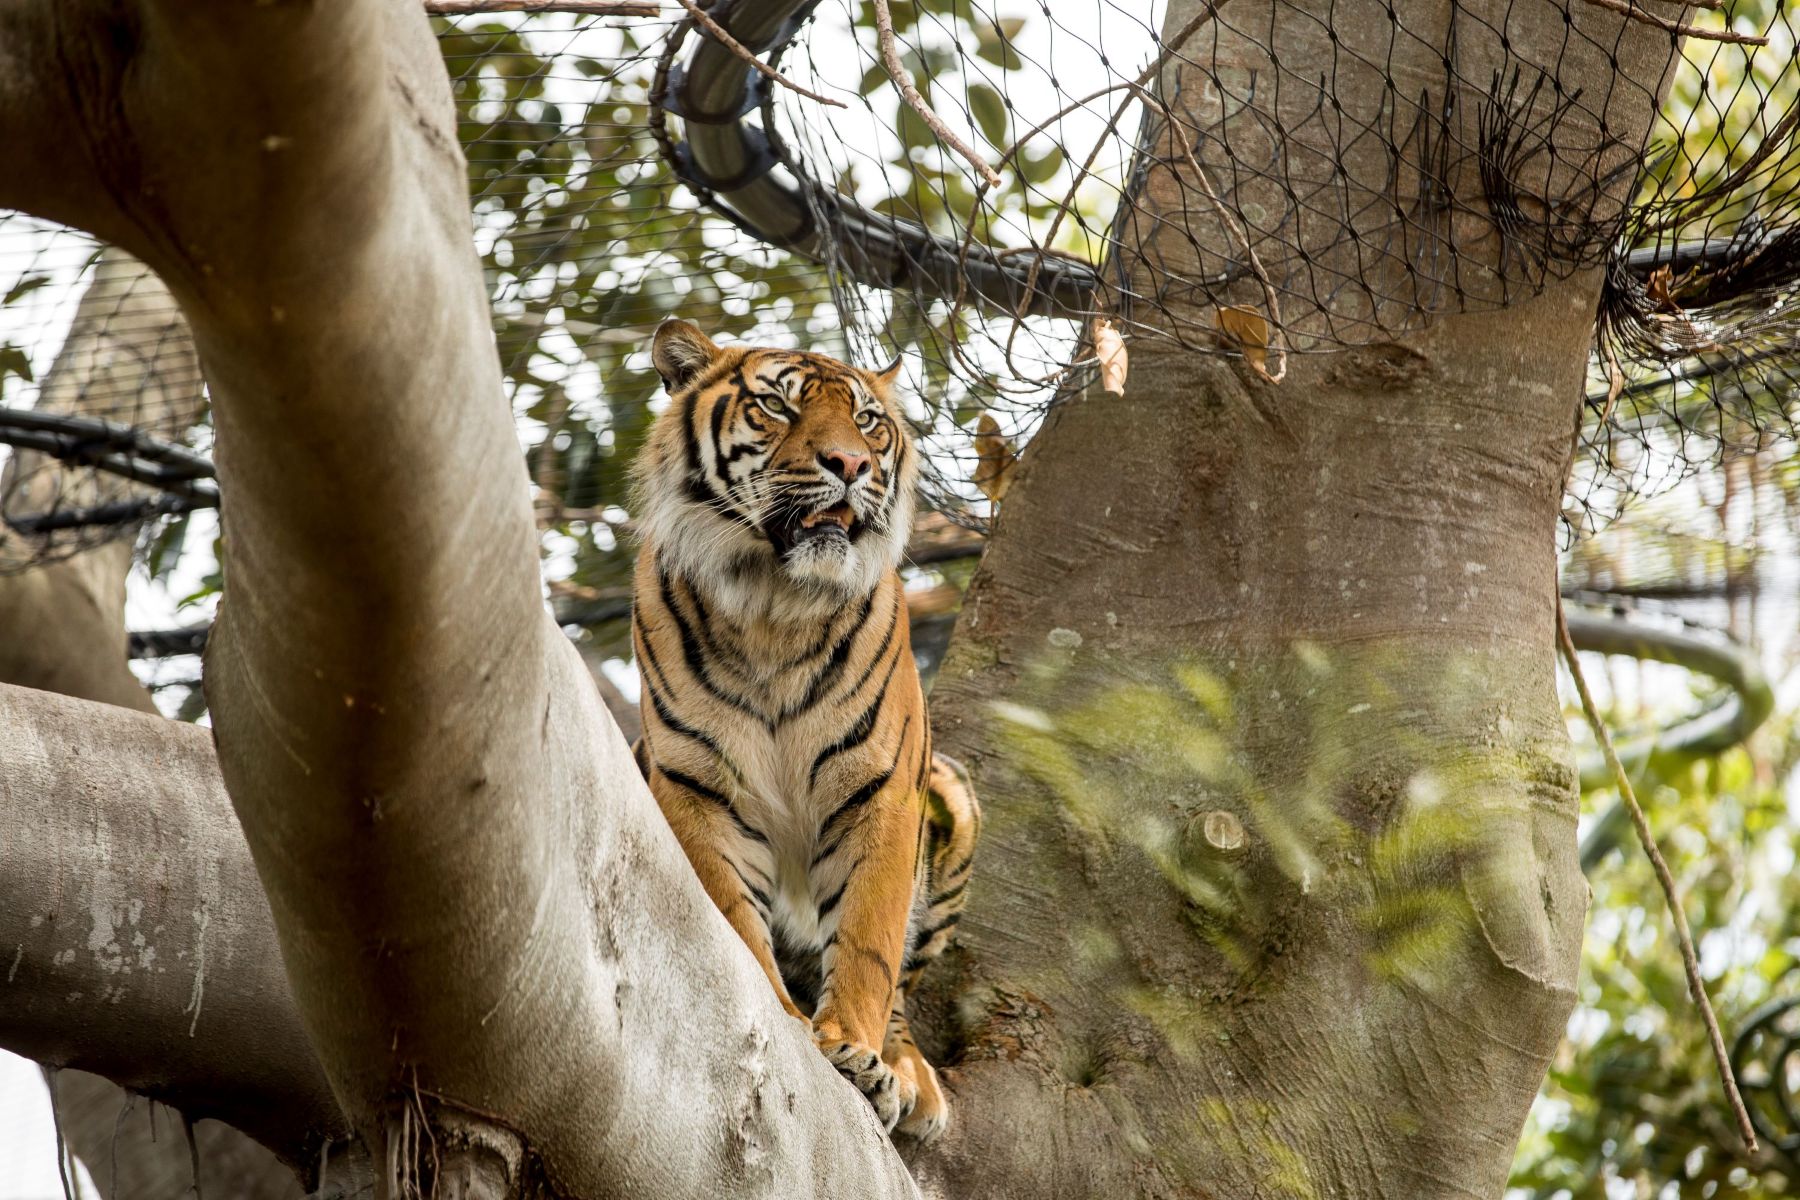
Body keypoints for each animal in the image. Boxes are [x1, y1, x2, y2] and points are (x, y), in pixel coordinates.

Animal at [627, 318, 979, 1140]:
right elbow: (733, 919)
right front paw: (790, 1021)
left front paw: (854, 1050)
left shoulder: (883, 791)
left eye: (869, 421)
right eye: (776, 408)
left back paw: (908, 1072)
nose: (849, 463)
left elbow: (871, 943)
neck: (774, 606)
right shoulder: (695, 788)